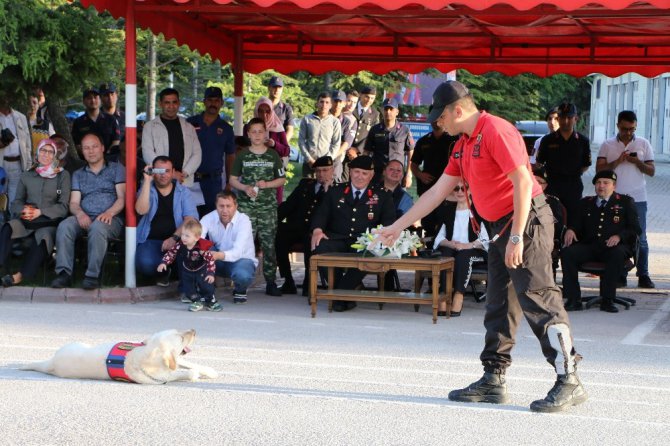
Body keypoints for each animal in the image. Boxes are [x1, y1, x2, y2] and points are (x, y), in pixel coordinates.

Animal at [21, 328, 219, 384]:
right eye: (181, 338)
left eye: (180, 332)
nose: (194, 330)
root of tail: (52, 363)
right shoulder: (164, 376)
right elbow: (183, 372)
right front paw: (194, 375)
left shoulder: (179, 360)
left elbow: (191, 364)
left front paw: (209, 371)